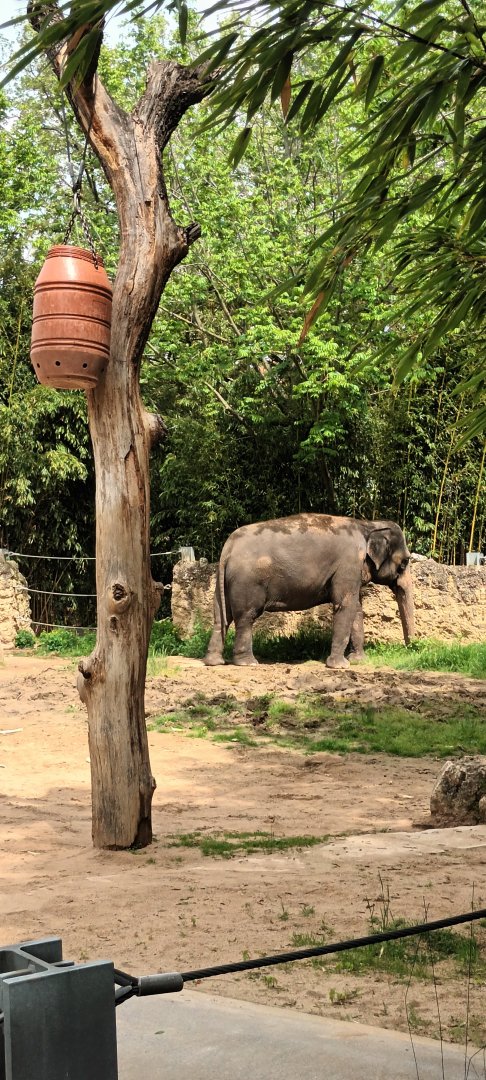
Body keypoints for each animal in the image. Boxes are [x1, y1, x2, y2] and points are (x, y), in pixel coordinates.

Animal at [204, 514, 415, 669]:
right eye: (405, 562)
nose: (411, 647)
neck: (368, 524)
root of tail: (228, 547)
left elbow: (355, 608)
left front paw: (358, 661)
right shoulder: (348, 564)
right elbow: (344, 605)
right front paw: (339, 666)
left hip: (223, 581)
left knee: (221, 617)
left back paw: (214, 662)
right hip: (247, 581)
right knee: (246, 617)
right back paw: (248, 663)